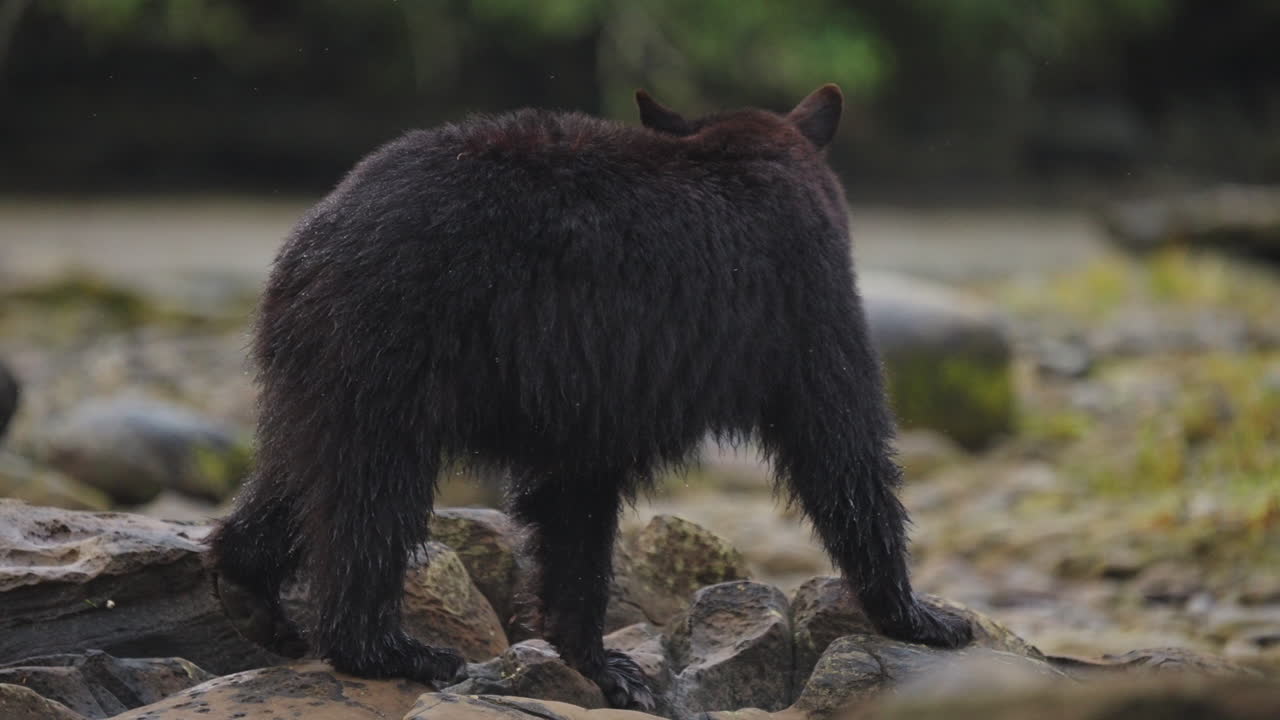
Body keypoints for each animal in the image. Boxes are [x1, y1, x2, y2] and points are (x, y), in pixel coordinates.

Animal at [207, 84, 973, 711]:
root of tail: (313, 238)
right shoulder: (800, 298)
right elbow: (840, 441)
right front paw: (924, 615)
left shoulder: (591, 386)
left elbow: (571, 500)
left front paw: (601, 664)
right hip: (395, 339)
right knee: (373, 493)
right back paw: (395, 649)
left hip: (325, 366)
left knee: (303, 472)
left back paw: (252, 591)